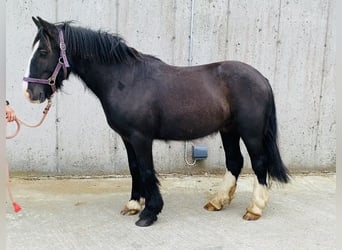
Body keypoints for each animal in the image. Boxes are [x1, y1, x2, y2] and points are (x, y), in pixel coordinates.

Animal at [22, 15, 288, 227]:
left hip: (250, 133)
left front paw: (150, 213)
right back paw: (217, 201)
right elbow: (134, 168)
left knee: (259, 162)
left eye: (43, 52)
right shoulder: (127, 137)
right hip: (229, 129)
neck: (125, 79)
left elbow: (147, 170)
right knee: (234, 161)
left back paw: (254, 209)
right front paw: (133, 205)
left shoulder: (141, 138)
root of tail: (262, 79)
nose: (30, 94)